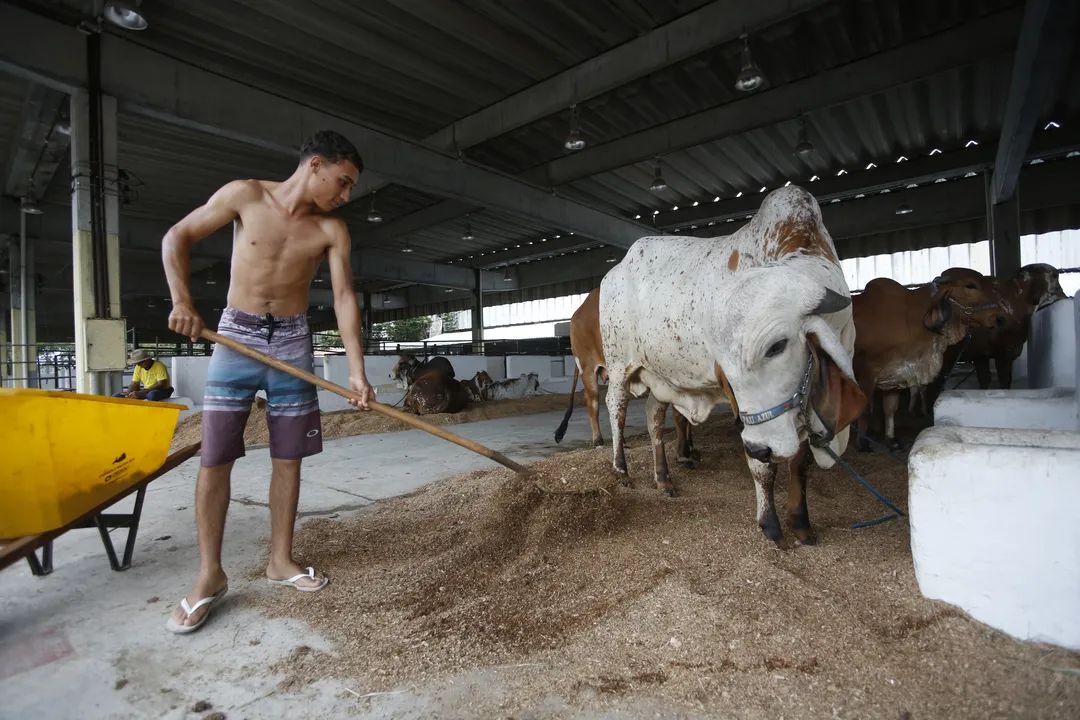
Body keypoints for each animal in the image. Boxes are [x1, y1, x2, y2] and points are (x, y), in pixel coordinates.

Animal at [600, 185, 868, 546]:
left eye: (777, 346)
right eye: (723, 363)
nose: (761, 446)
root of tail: (613, 272)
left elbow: (799, 463)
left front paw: (801, 523)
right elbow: (762, 466)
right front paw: (770, 524)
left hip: (661, 375)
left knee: (654, 416)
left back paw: (663, 478)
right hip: (618, 365)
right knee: (616, 409)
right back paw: (621, 469)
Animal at [855, 267, 997, 451]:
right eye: (970, 285)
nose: (997, 316)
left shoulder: (896, 374)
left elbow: (890, 409)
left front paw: (892, 440)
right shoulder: (866, 372)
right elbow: (866, 409)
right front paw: (863, 443)